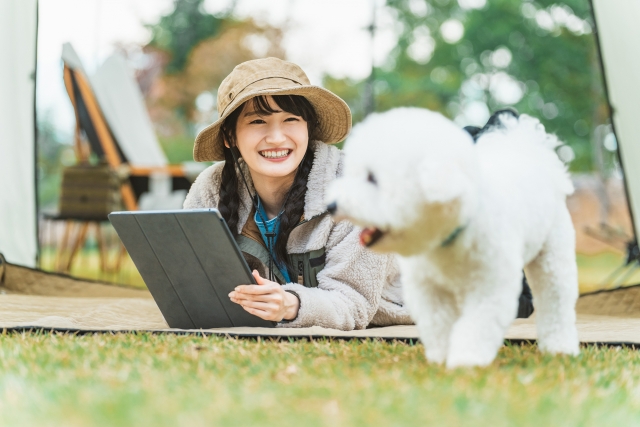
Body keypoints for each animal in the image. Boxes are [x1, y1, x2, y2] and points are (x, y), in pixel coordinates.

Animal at [328, 108, 584, 370]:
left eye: (372, 178)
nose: (332, 205)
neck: (450, 233)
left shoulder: (490, 285)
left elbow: (477, 325)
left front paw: (466, 362)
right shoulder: (430, 289)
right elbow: (439, 324)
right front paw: (442, 359)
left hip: (553, 255)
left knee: (556, 300)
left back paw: (560, 348)